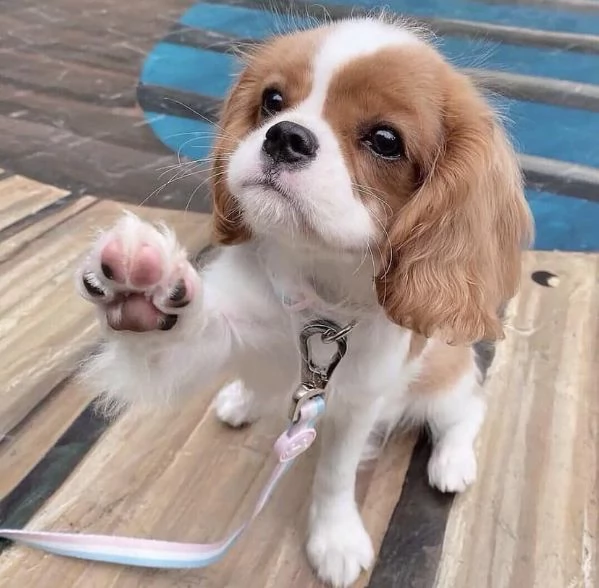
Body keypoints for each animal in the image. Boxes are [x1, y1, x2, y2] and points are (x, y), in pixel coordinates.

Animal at [76, 16, 536, 584]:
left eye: (386, 140)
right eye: (273, 100)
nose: (286, 135)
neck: (317, 283)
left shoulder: (358, 399)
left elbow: (336, 474)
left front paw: (335, 537)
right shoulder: (220, 332)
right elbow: (180, 333)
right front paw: (145, 289)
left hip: (445, 378)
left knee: (466, 410)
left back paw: (452, 462)